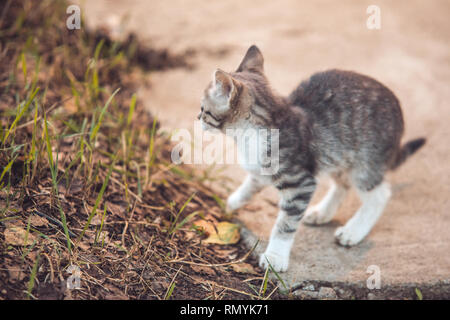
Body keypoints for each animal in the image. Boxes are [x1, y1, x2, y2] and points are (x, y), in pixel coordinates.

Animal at [200, 43, 426, 272]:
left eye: (204, 110)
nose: (198, 117)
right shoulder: (260, 170)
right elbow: (249, 186)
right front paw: (231, 203)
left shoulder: (300, 183)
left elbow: (285, 224)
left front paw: (275, 256)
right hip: (338, 155)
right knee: (342, 185)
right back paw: (322, 213)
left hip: (365, 163)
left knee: (379, 195)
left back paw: (354, 230)